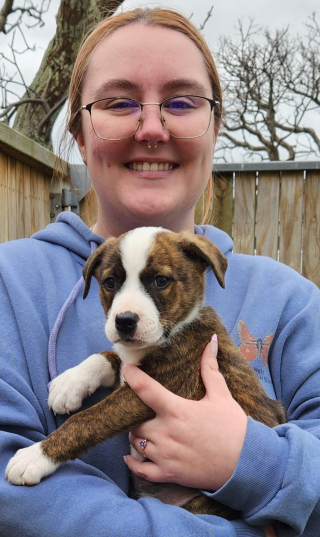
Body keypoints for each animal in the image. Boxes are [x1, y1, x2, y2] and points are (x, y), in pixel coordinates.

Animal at [5, 227, 284, 520]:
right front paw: (69, 384)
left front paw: (36, 456)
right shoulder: (128, 371)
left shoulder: (152, 389)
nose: (124, 321)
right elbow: (107, 357)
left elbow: (86, 420)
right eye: (110, 282)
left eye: (161, 281)